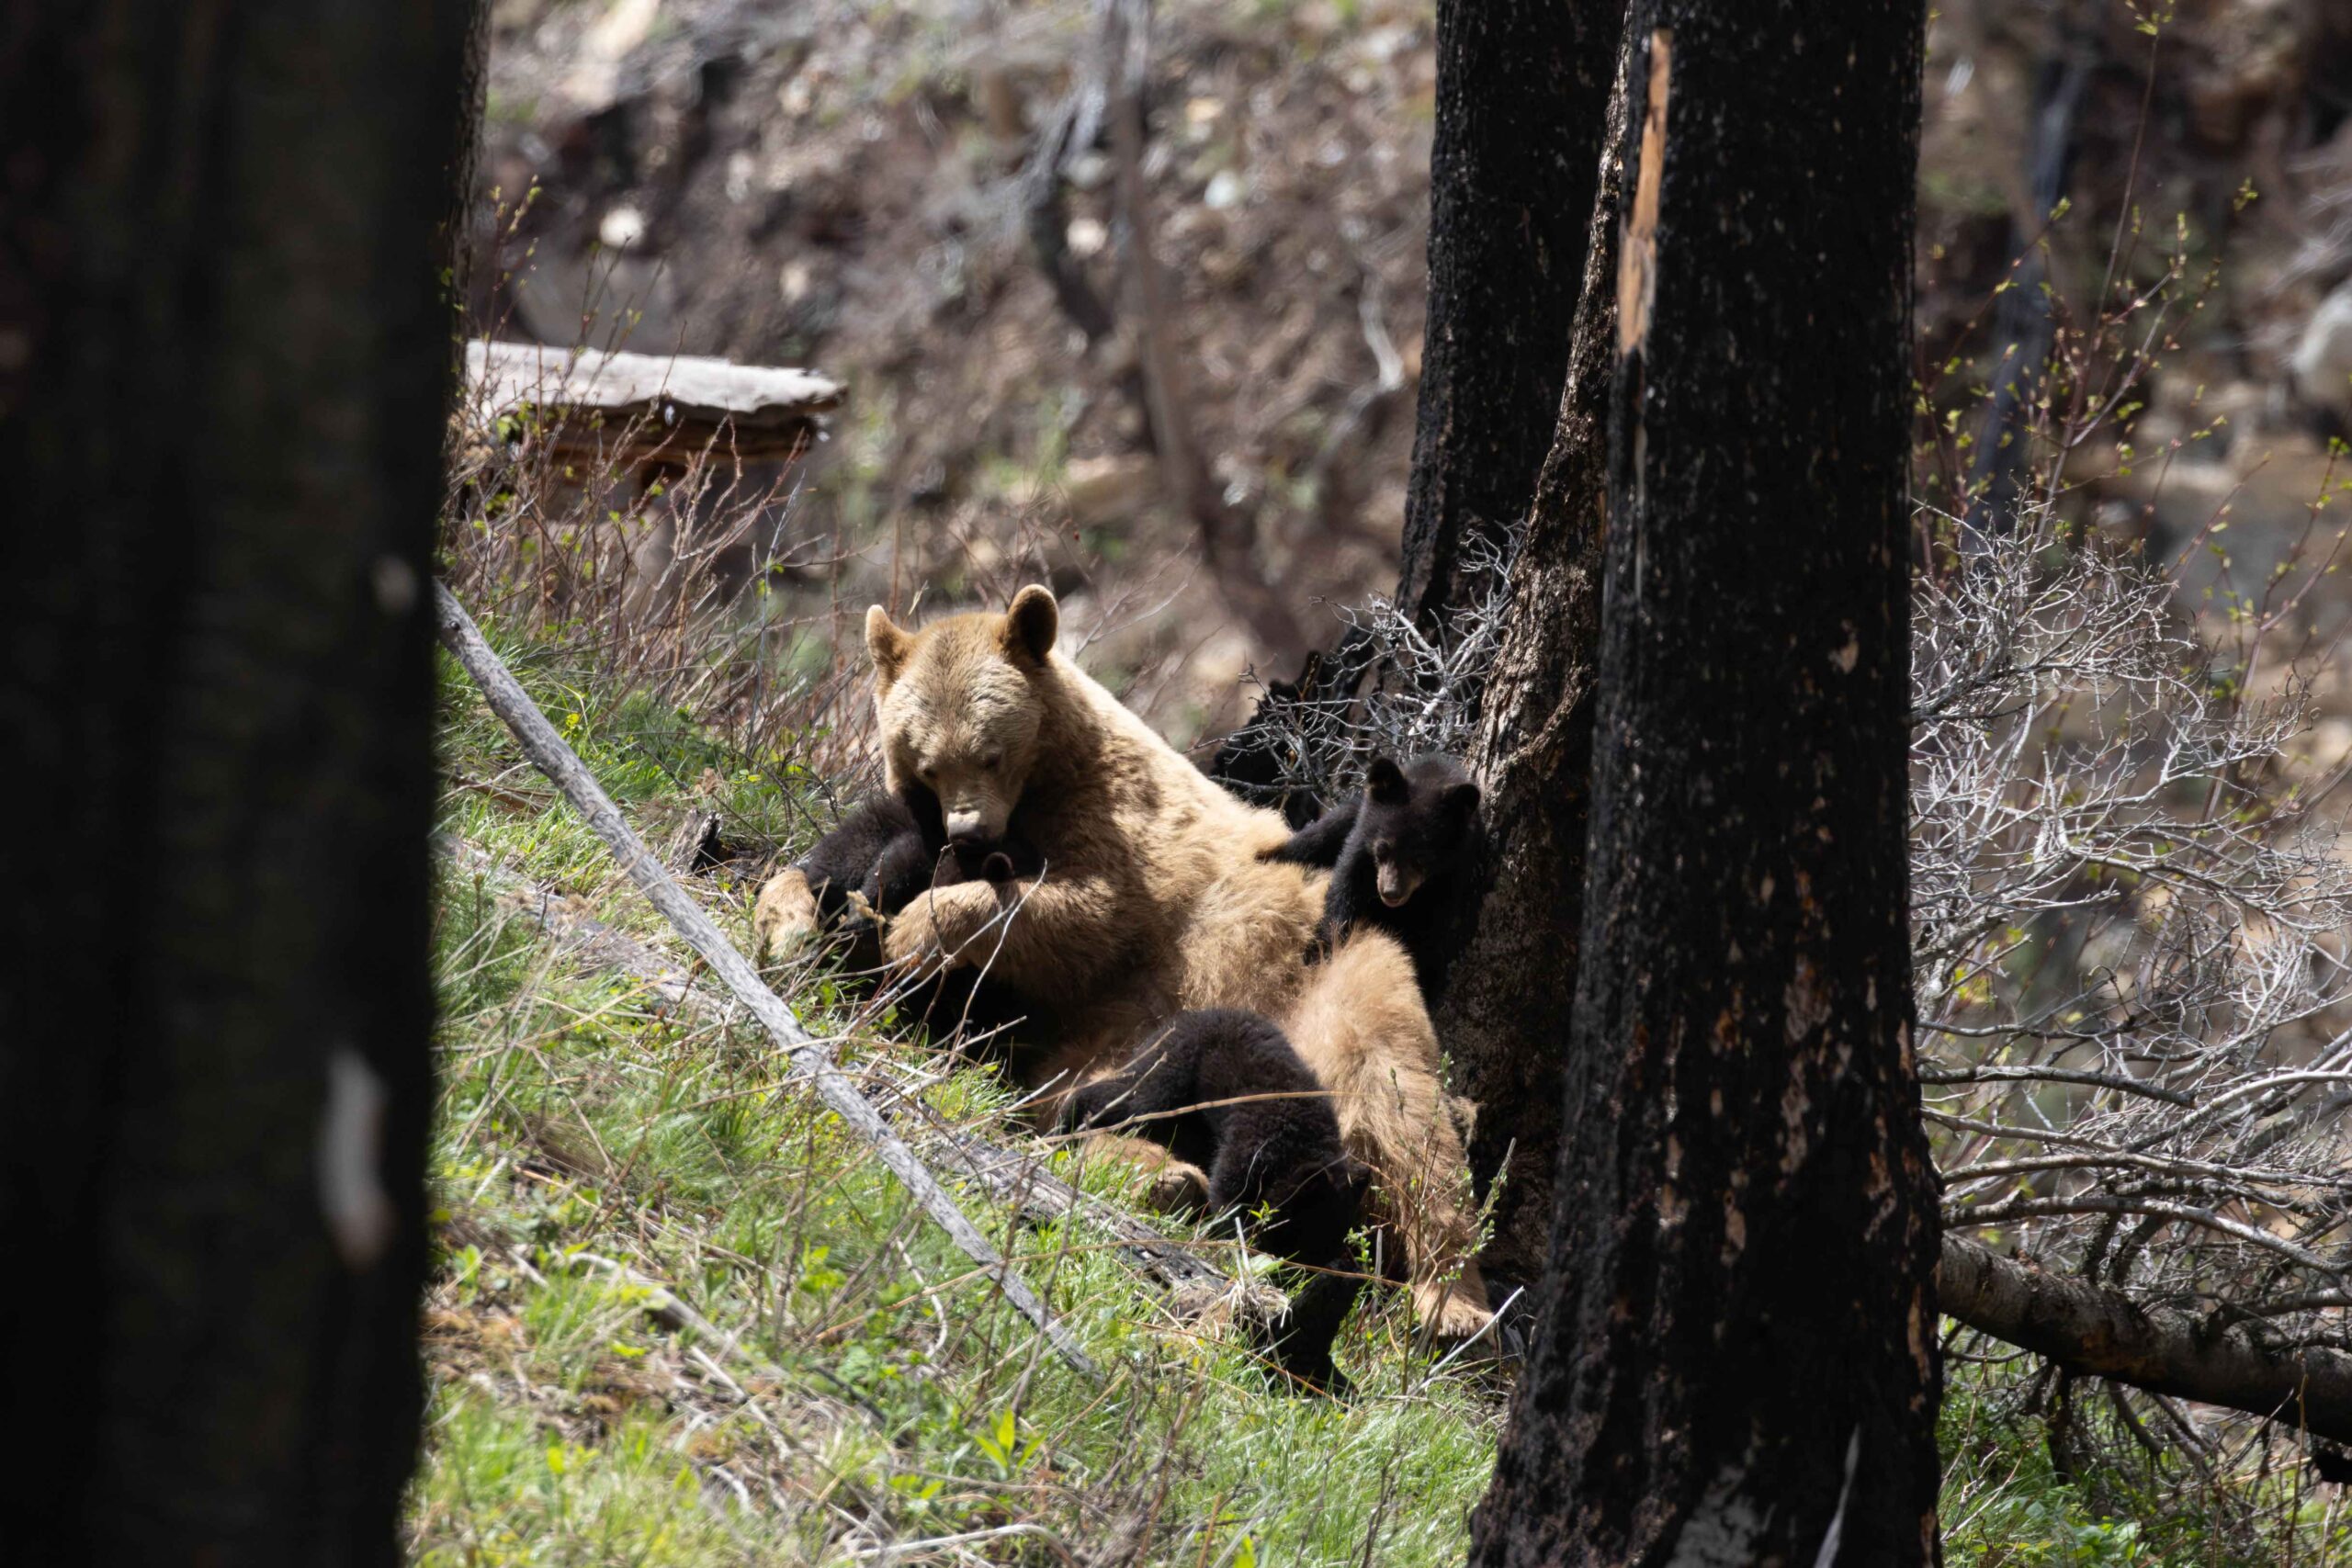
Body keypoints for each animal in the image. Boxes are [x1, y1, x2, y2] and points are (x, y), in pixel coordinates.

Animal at [1060, 1007, 1367, 1393]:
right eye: (1301, 1238)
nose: (1295, 1281)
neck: (1300, 1145)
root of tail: (1182, 1019)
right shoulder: (1242, 1159)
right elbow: (1228, 1210)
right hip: (1164, 1089)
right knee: (1113, 1098)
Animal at [1264, 753, 1480, 999]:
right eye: (1382, 849)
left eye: (1420, 859)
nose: (1391, 892)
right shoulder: (1361, 838)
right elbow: (1344, 887)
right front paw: (1319, 951)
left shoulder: (1452, 874)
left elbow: (1431, 931)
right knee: (1310, 842)